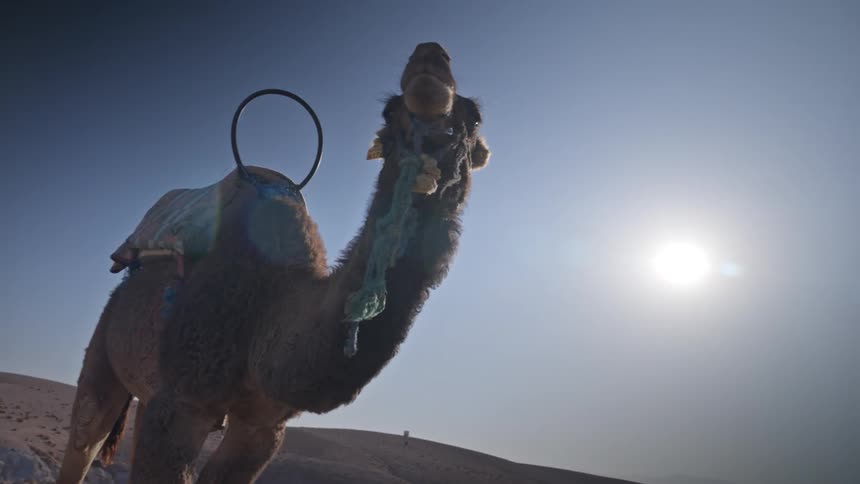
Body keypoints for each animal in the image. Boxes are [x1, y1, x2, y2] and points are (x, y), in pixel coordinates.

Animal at [57, 42, 490, 484]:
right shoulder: (183, 399)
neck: (270, 304)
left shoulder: (263, 426)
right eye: (389, 111)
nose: (429, 60)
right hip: (105, 342)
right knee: (85, 435)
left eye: (474, 115)